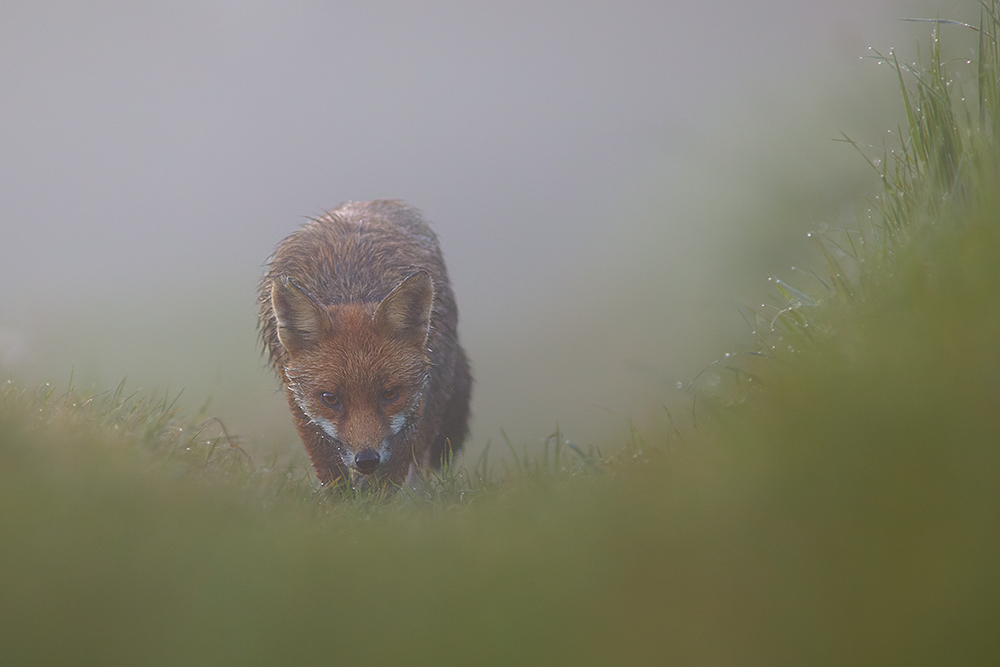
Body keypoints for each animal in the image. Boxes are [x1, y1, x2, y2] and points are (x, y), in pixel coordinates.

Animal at [262, 198, 472, 490]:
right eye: (329, 398)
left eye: (391, 393)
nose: (367, 460)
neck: (351, 289)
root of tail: (367, 202)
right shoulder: (298, 399)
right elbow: (331, 472)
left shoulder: (420, 397)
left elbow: (394, 472)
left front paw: (376, 499)